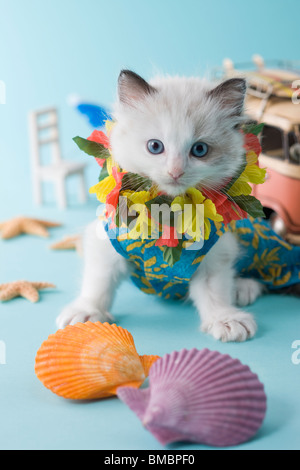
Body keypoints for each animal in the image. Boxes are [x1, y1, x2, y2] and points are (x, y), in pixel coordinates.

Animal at [56, 70, 262, 342]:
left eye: (200, 150)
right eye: (155, 146)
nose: (175, 172)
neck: (167, 214)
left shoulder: (215, 253)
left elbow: (215, 292)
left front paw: (225, 319)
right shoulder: (106, 241)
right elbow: (98, 282)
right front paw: (87, 312)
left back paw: (243, 287)